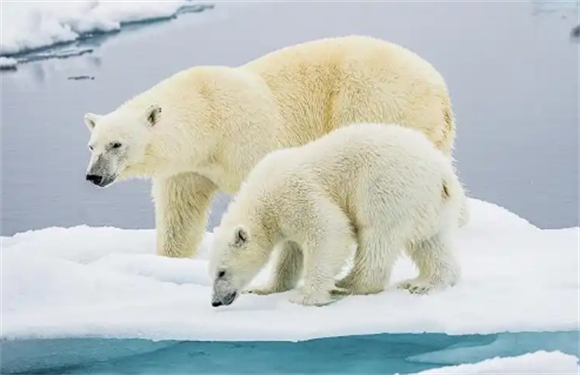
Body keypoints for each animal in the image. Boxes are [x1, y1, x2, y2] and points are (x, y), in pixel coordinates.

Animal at [84, 35, 468, 258]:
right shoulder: (188, 167)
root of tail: (440, 88)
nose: (93, 176)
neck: (207, 118)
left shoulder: (246, 136)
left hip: (376, 101)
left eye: (116, 144)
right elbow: (180, 212)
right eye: (92, 146)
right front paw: (171, 256)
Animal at [208, 123, 462, 308]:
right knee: (430, 241)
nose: (216, 302)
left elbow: (329, 229)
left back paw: (349, 283)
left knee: (377, 236)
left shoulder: (295, 193)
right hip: (428, 204)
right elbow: (290, 253)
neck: (262, 196)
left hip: (386, 186)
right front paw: (264, 288)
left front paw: (305, 297)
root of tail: (443, 173)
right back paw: (425, 283)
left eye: (222, 271)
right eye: (211, 273)